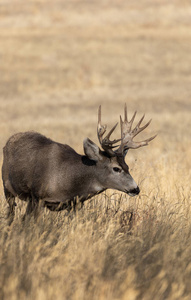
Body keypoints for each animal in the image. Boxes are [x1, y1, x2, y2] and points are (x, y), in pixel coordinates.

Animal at [1, 104, 157, 224]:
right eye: (116, 168)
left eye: (127, 167)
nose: (136, 189)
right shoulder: (37, 196)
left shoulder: (75, 204)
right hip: (7, 187)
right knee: (11, 213)